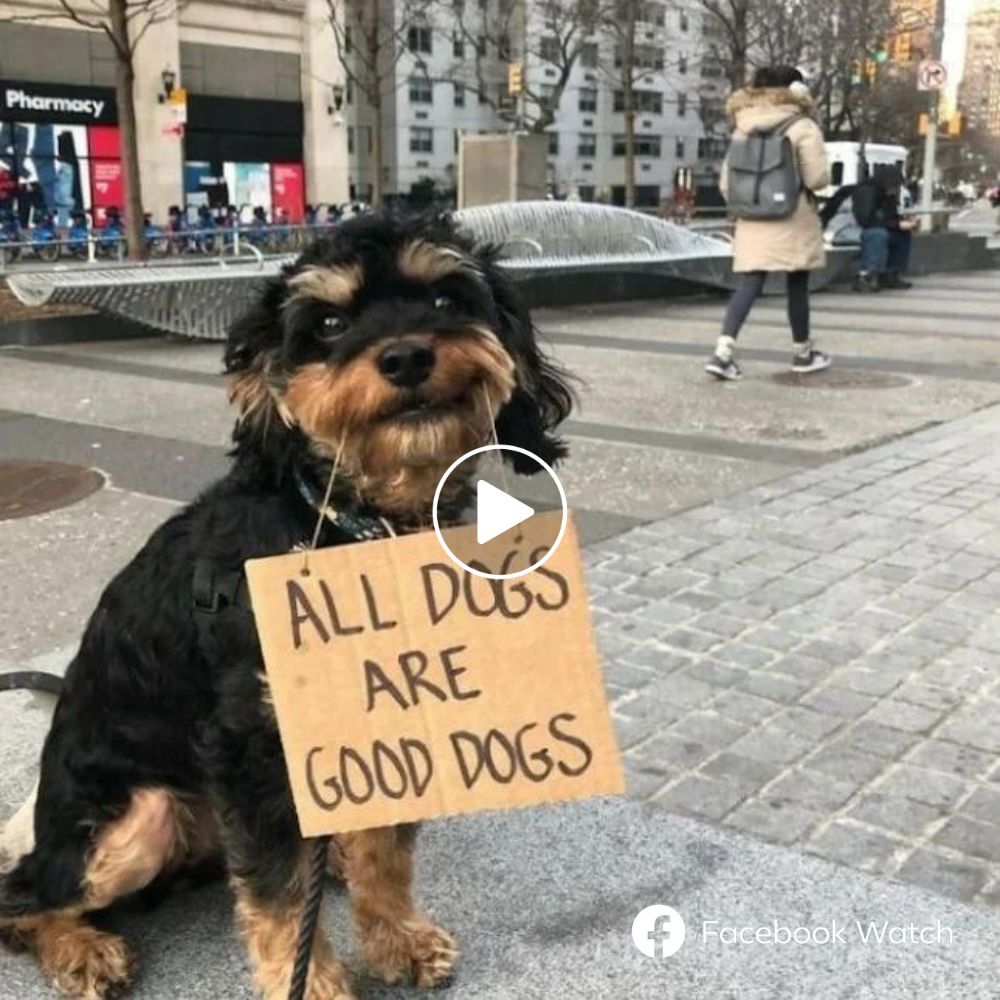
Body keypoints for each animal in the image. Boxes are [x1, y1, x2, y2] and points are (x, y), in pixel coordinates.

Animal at [0, 215, 576, 996]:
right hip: (138, 814)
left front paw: (394, 938)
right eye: (328, 323)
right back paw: (81, 949)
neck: (349, 526)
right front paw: (314, 984)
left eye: (445, 299)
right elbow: (276, 897)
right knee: (24, 896)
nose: (405, 356)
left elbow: (385, 851)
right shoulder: (249, 745)